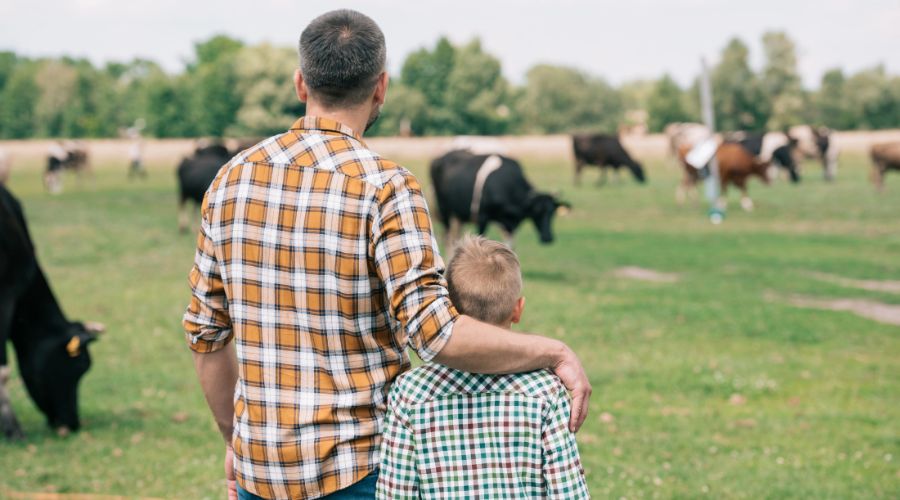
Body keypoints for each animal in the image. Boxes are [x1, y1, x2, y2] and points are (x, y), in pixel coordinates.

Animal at [428, 149, 568, 249]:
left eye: (552, 212)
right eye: (537, 211)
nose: (548, 238)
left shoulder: (510, 224)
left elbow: (510, 247)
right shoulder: (482, 217)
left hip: (458, 216)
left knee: (454, 239)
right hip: (444, 210)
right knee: (447, 239)